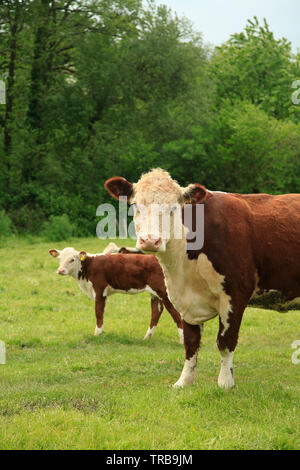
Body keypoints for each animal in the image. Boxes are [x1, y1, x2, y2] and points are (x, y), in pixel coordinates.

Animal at [48, 248, 183, 344]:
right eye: (59, 259)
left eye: (72, 259)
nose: (60, 270)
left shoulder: (99, 290)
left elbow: (98, 312)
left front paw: (97, 334)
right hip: (155, 294)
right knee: (156, 312)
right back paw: (147, 337)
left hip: (164, 292)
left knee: (176, 313)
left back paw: (182, 340)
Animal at [105, 169, 300, 390]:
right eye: (135, 205)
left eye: (174, 207)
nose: (150, 240)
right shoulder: (185, 300)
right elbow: (190, 343)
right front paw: (184, 381)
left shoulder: (235, 294)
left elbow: (225, 341)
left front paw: (225, 383)